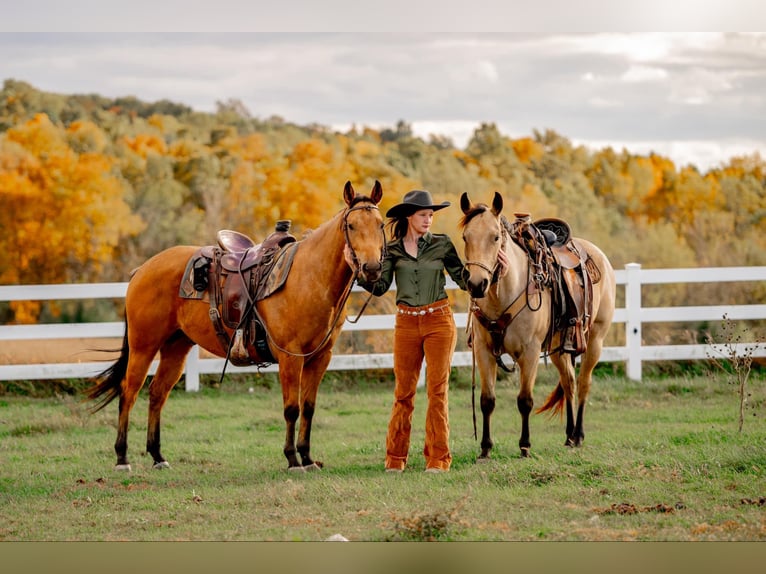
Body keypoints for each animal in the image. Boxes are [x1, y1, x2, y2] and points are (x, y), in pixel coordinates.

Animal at [88, 182, 388, 474]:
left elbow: (309, 408)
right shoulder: (290, 357)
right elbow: (292, 408)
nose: (372, 268)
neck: (308, 278)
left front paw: (307, 457)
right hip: (143, 346)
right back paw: (122, 457)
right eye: (352, 226)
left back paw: (157, 455)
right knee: (129, 392)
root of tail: (142, 270)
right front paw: (293, 460)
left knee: (157, 394)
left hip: (176, 347)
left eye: (381, 224)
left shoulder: (320, 358)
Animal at [462, 191, 616, 462]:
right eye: (465, 237)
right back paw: (568, 436)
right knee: (569, 382)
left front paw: (525, 446)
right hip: (559, 347)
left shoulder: (530, 352)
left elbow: (525, 400)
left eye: (495, 237)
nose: (477, 284)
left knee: (584, 383)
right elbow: (487, 400)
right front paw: (485, 448)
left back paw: (578, 435)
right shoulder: (483, 350)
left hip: (595, 340)